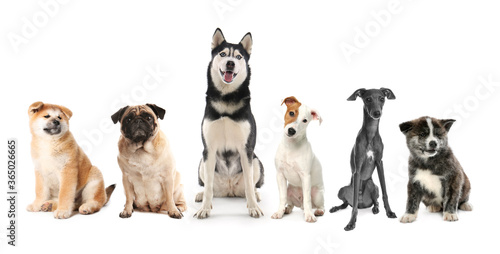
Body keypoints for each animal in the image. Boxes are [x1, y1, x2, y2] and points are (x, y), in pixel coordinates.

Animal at [194, 27, 266, 218]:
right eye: (223, 54)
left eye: (239, 56)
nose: (230, 63)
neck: (226, 98)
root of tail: (229, 189)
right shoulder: (209, 149)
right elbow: (208, 187)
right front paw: (205, 208)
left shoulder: (246, 149)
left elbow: (249, 184)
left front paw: (253, 207)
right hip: (202, 162)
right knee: (209, 186)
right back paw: (201, 195)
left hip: (256, 160)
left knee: (251, 185)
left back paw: (256, 195)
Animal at [330, 88, 396, 231]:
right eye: (368, 99)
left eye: (382, 98)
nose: (377, 113)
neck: (371, 133)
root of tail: (364, 205)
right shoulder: (357, 168)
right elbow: (354, 203)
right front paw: (351, 222)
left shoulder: (379, 163)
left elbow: (385, 192)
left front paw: (389, 212)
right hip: (342, 190)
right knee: (346, 203)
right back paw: (336, 208)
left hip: (373, 186)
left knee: (375, 200)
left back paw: (376, 208)